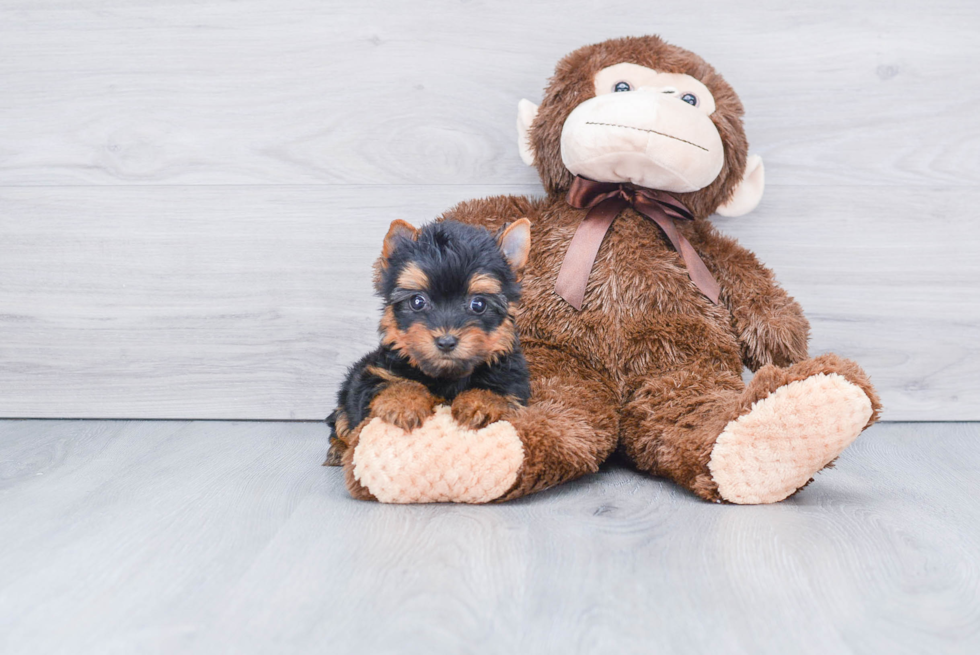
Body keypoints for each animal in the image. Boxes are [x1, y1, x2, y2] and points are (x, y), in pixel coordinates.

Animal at [326, 218, 532, 464]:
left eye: (478, 304)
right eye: (417, 301)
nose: (446, 341)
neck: (447, 376)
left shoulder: (513, 381)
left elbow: (498, 390)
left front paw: (479, 403)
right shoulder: (373, 373)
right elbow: (390, 384)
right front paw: (404, 403)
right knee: (341, 419)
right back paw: (338, 449)